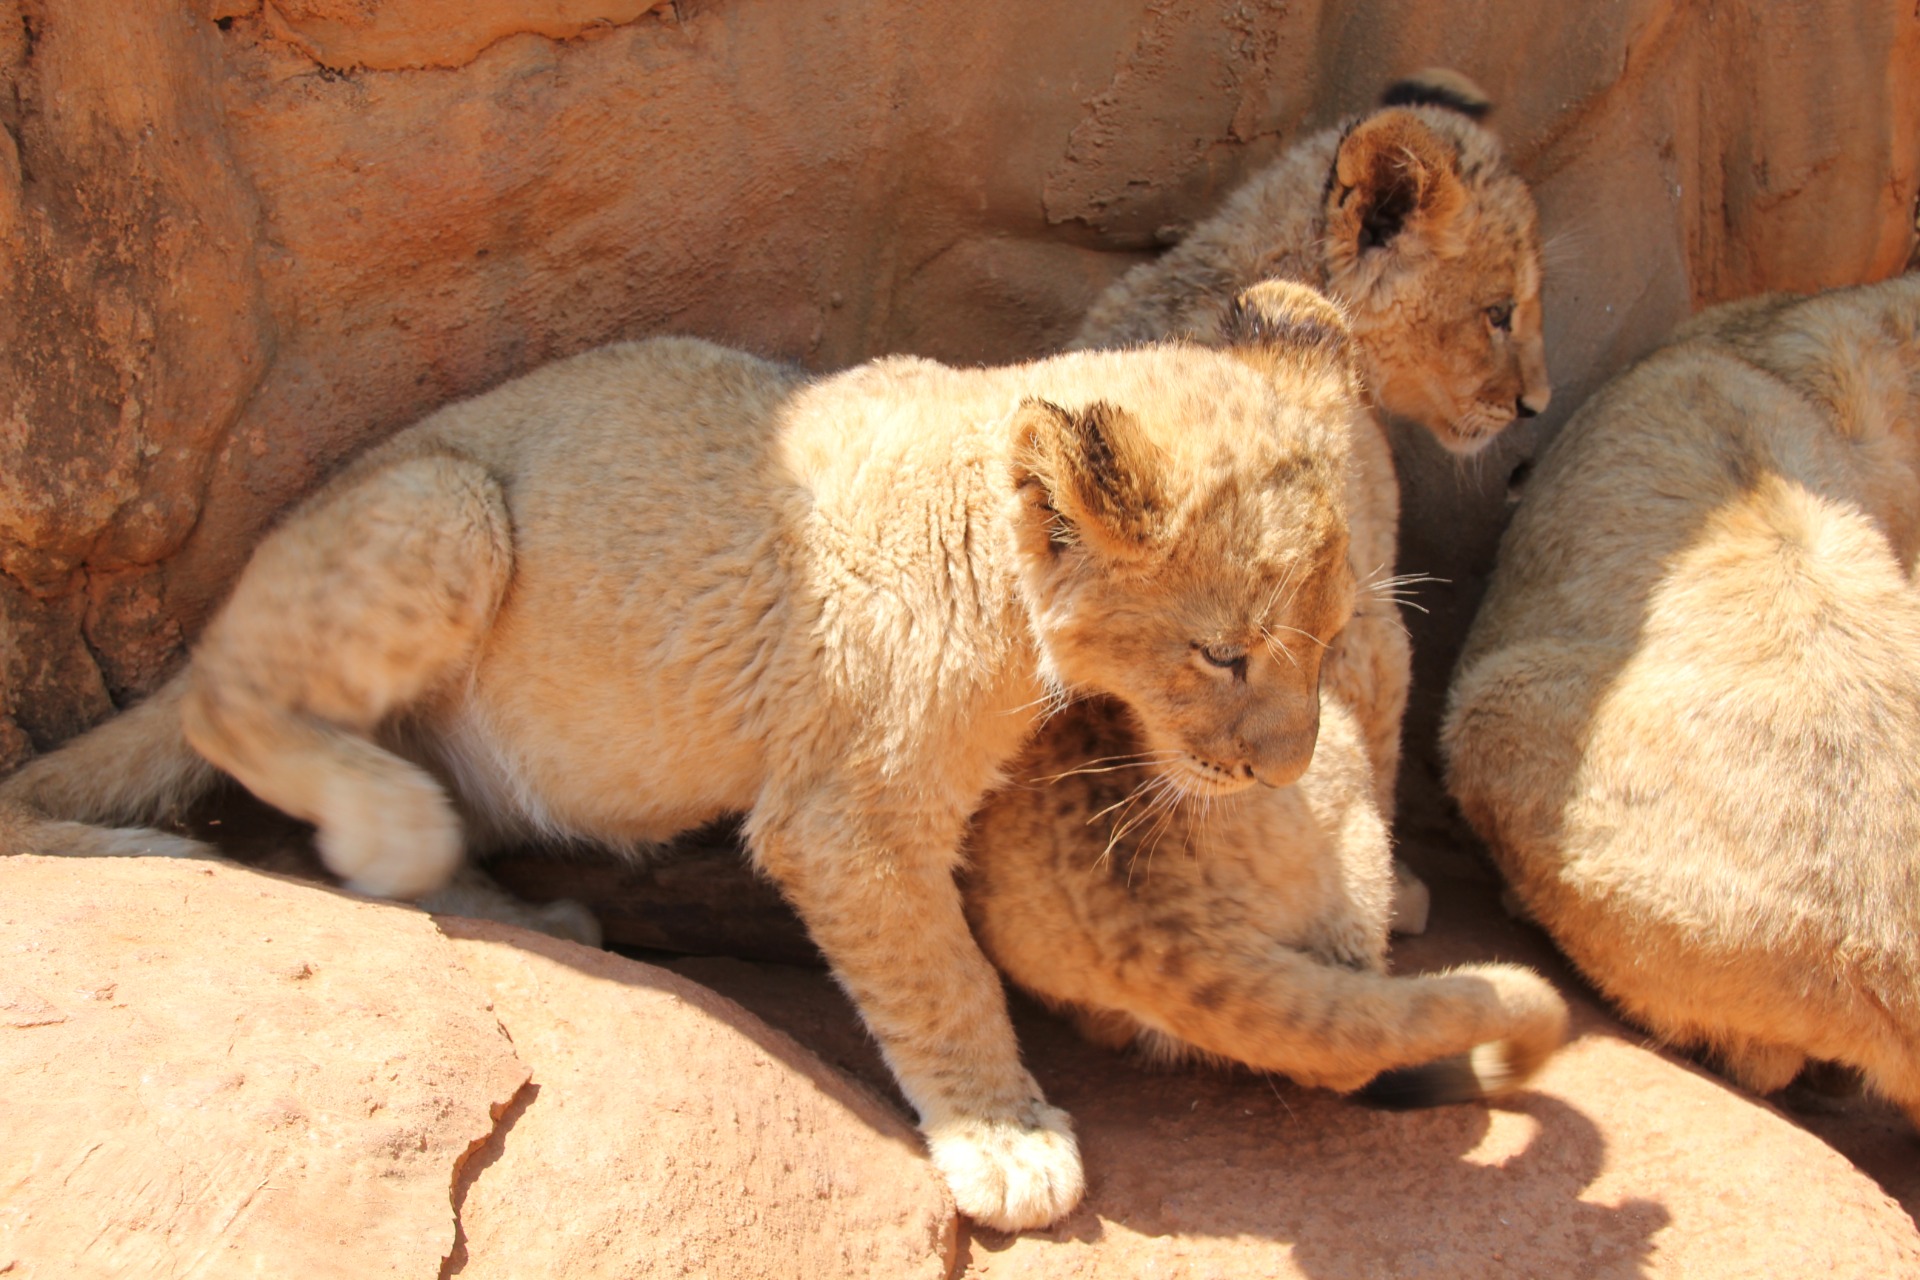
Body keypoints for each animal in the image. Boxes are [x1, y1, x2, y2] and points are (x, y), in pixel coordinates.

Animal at [1, 281, 1369, 1231]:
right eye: (1225, 655)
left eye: (1332, 631)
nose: (1283, 770)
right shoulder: (845, 816)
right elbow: (943, 976)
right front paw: (1008, 1138)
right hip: (447, 503)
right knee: (215, 701)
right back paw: (390, 825)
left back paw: (518, 903)